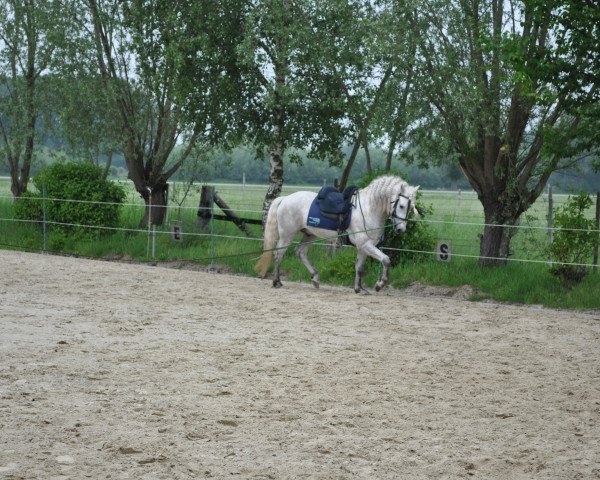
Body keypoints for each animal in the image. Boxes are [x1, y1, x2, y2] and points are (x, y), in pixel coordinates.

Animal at [255, 174, 420, 290]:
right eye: (401, 206)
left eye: (411, 207)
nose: (401, 229)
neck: (368, 209)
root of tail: (285, 199)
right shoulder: (365, 245)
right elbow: (386, 260)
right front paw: (380, 285)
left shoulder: (364, 247)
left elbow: (359, 268)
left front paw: (359, 289)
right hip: (287, 234)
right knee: (278, 254)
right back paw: (277, 282)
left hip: (309, 234)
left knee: (300, 252)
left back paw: (315, 279)